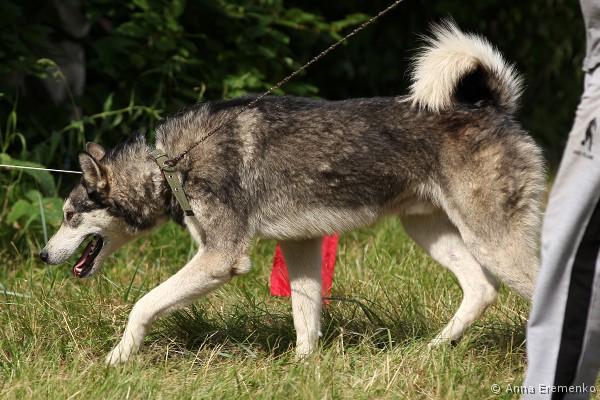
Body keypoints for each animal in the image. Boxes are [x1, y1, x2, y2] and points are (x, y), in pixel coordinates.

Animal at [40, 22, 545, 365]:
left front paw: (117, 359)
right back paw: (434, 347)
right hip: (428, 231)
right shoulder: (301, 247)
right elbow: (306, 321)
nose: (42, 256)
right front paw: (303, 369)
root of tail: (493, 108)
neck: (169, 165)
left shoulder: (221, 259)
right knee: (480, 289)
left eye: (69, 215)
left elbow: (143, 305)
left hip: (493, 242)